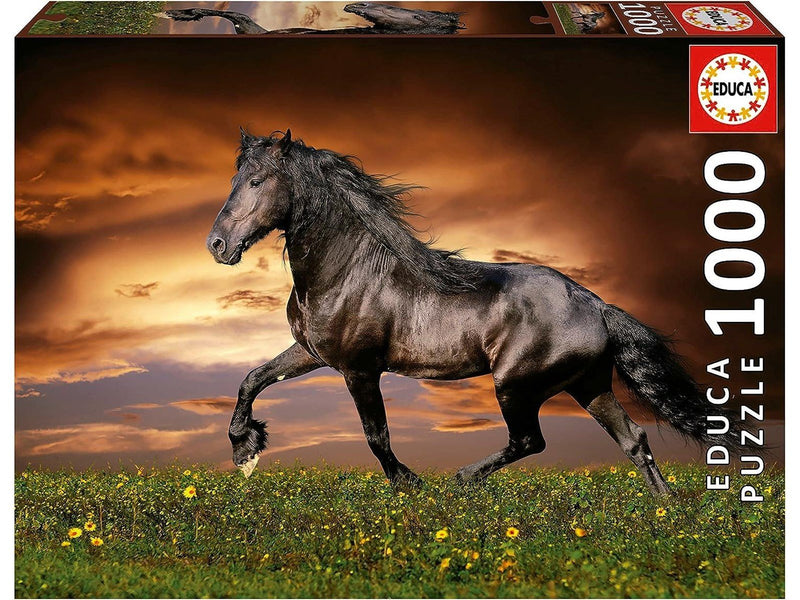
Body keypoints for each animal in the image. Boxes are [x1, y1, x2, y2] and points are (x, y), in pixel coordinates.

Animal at [207, 129, 737, 495]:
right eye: (233, 179)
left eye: (257, 181)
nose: (217, 245)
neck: (347, 272)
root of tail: (596, 305)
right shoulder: (312, 353)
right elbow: (252, 379)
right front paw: (245, 448)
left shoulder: (359, 369)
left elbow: (376, 435)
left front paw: (410, 485)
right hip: (588, 384)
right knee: (633, 439)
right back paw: (666, 513)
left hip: (516, 385)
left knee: (530, 442)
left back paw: (462, 478)